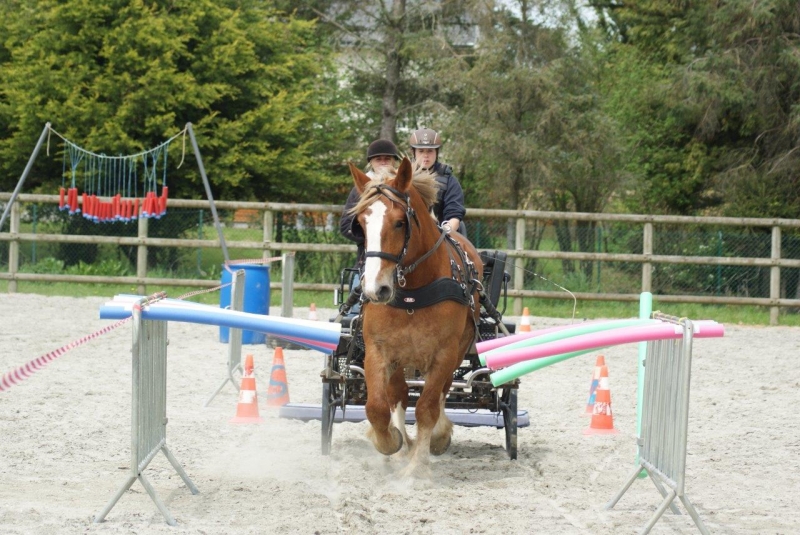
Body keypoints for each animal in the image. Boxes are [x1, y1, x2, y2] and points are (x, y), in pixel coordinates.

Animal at [346, 157, 482, 476]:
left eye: (399, 222)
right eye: (361, 224)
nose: (376, 289)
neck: (413, 293)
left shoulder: (444, 354)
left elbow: (427, 407)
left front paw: (417, 467)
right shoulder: (378, 351)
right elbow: (377, 407)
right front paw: (390, 443)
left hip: (456, 352)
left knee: (441, 392)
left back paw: (436, 437)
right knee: (399, 393)